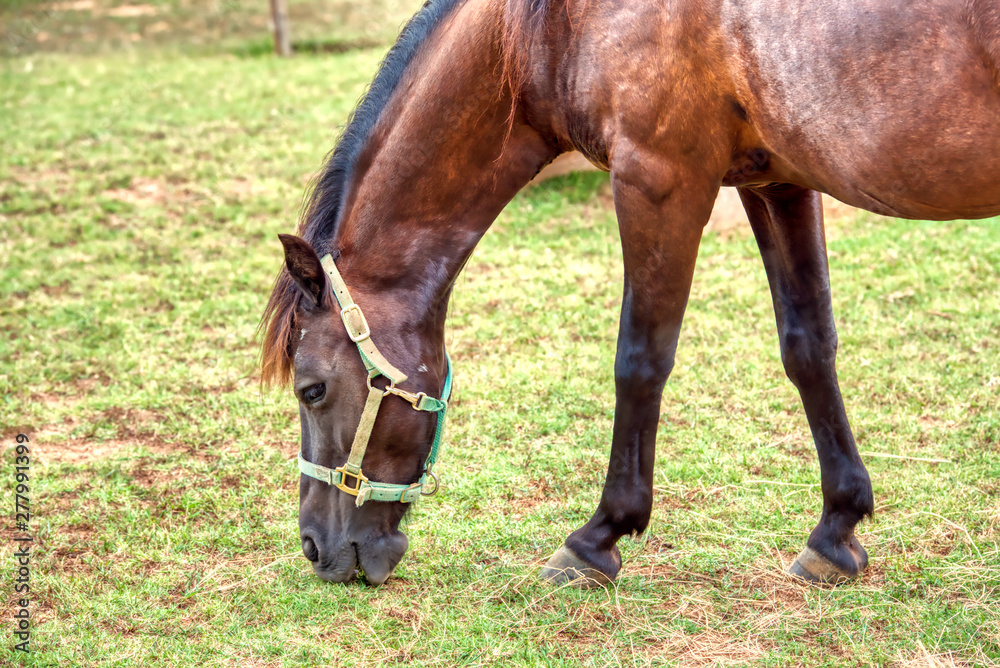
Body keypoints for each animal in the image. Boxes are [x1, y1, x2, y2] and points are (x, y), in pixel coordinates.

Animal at [260, 0, 1000, 586]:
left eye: (312, 390)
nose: (315, 547)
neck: (548, 25)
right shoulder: (778, 182)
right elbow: (808, 347)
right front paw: (836, 532)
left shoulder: (659, 180)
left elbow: (640, 362)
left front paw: (598, 538)